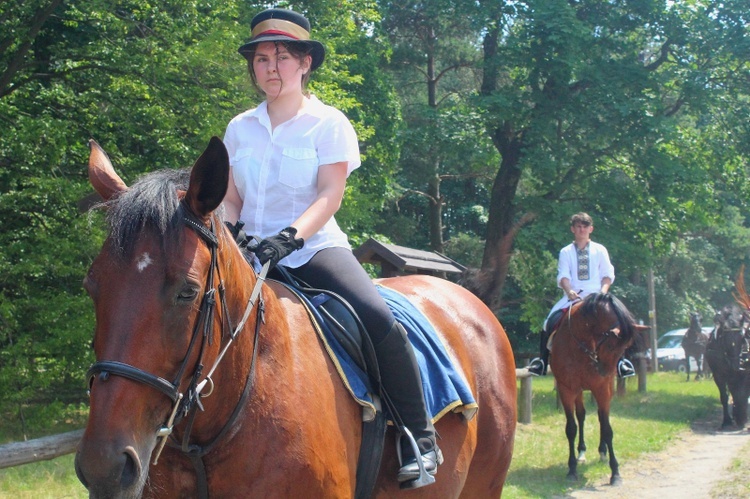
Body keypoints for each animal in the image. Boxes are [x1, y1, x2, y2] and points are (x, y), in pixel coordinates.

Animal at [548, 294, 648, 486]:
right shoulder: (567, 388)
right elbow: (571, 428)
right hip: (579, 391)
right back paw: (581, 452)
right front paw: (572, 469)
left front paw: (615, 472)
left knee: (602, 418)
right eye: (610, 346)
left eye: (625, 348)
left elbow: (607, 428)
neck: (581, 342)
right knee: (581, 415)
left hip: (606, 388)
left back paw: (602, 451)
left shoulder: (601, 388)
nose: (603, 371)